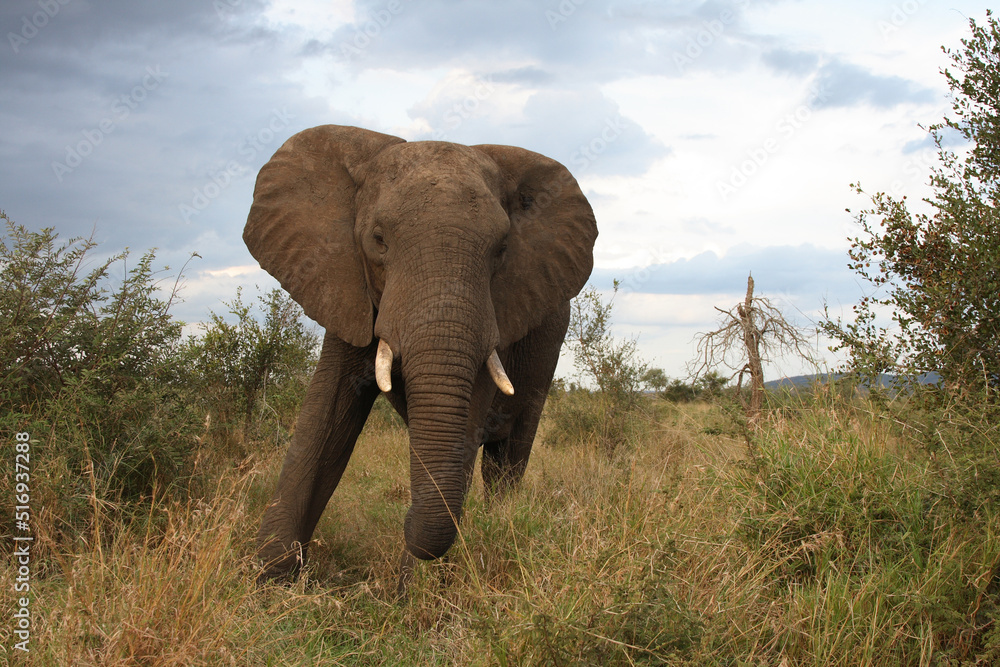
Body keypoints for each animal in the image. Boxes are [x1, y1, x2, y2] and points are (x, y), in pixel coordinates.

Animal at [244, 124, 597, 585]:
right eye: (378, 240)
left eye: (503, 249)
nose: (405, 515)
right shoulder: (346, 284)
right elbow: (323, 420)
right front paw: (267, 578)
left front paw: (411, 595)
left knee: (506, 459)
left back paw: (500, 524)